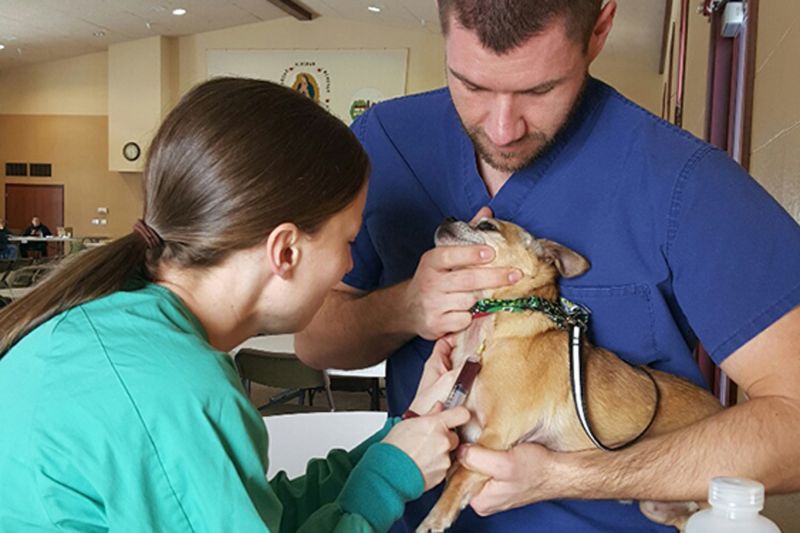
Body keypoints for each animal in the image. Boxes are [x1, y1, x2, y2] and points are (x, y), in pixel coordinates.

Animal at [418, 217, 724, 532]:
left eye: (488, 226)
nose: (447, 219)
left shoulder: (497, 436)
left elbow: (461, 476)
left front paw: (435, 518)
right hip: (659, 509)